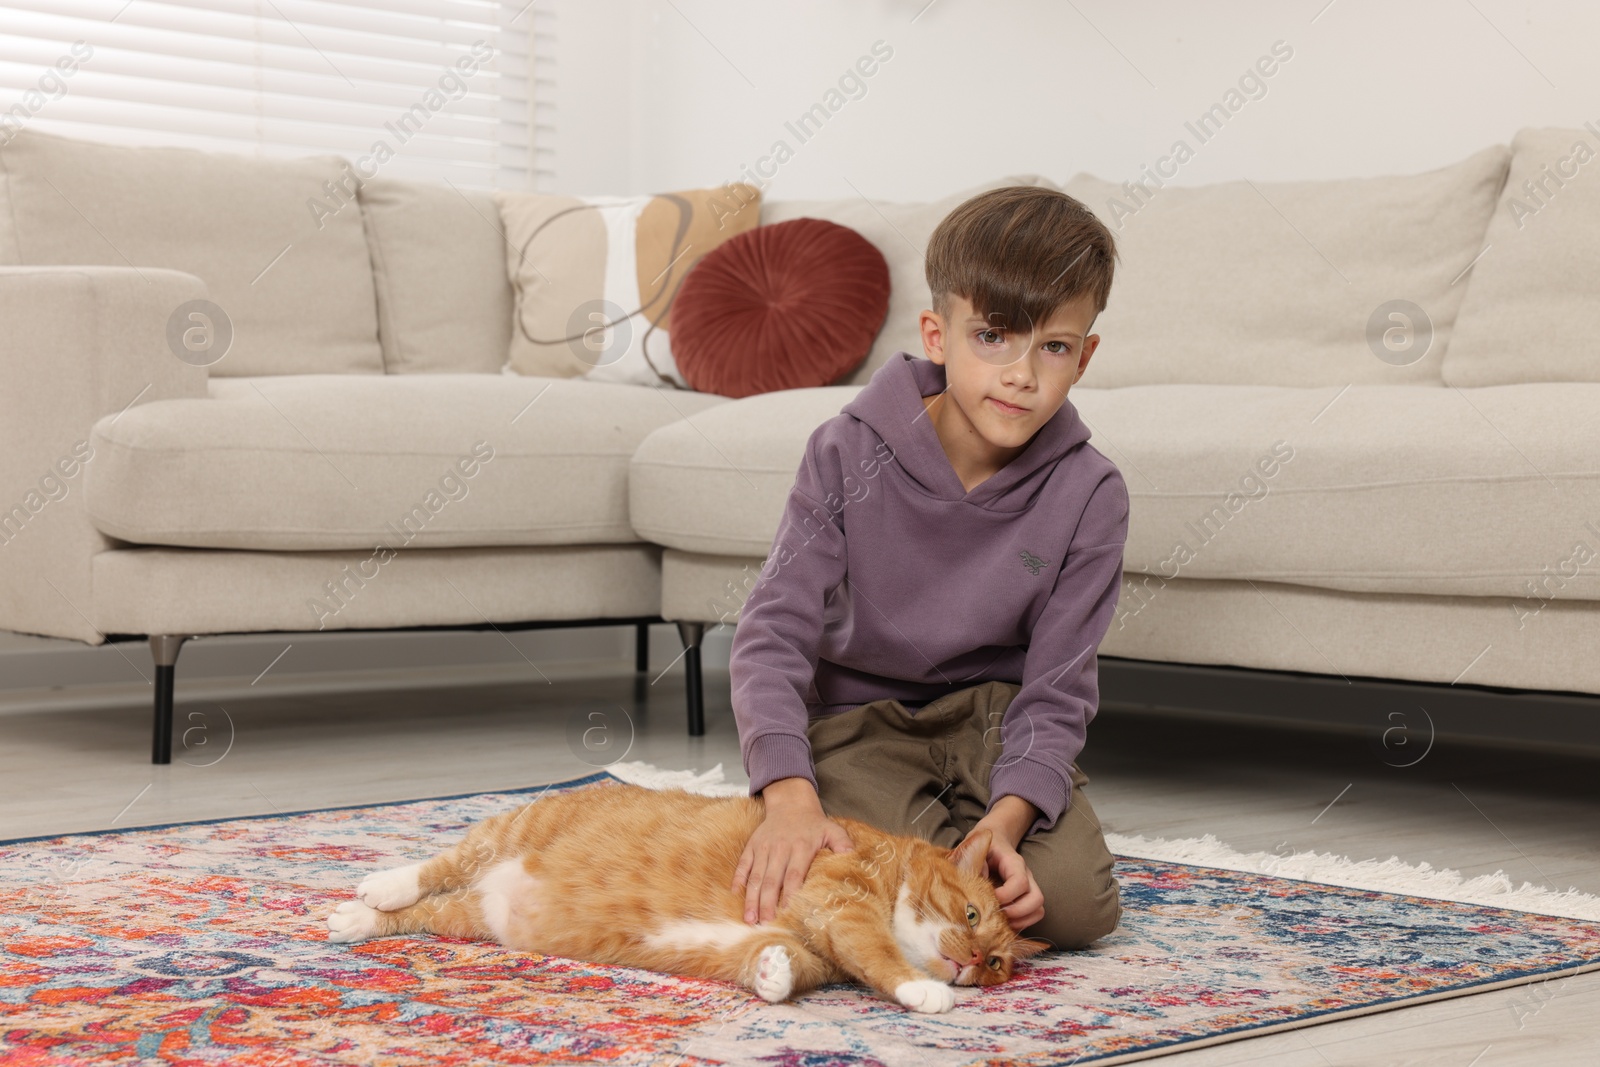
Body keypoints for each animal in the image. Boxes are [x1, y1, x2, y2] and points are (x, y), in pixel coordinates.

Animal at [324, 780, 1049, 1017]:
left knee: (424, 913)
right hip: (509, 833)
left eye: (997, 964)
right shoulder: (840, 904)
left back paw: (354, 917)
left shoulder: (811, 940)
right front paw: (926, 990)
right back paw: (377, 885)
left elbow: (794, 967)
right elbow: (879, 954)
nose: (970, 962)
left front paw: (774, 974)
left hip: (476, 919)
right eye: (971, 914)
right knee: (432, 869)